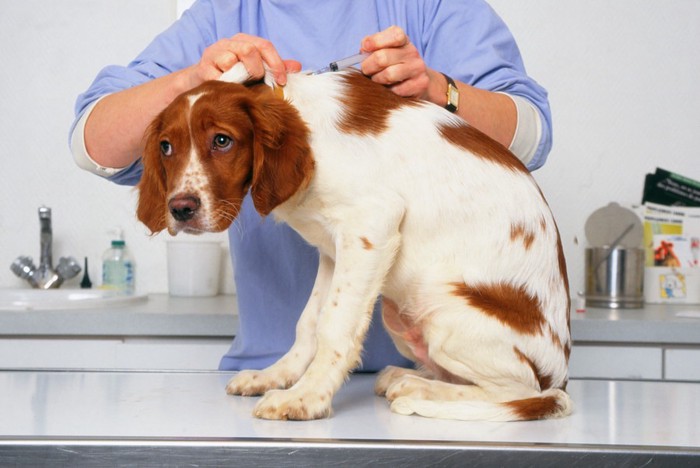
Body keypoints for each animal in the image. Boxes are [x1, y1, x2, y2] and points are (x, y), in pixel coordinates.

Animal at [138, 61, 576, 420]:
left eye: (222, 141)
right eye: (166, 147)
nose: (180, 209)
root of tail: (560, 375)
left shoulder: (372, 226)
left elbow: (334, 326)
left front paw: (306, 398)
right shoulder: (334, 249)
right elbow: (309, 322)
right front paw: (276, 375)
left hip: (442, 307)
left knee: (523, 393)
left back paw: (418, 390)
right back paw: (406, 377)